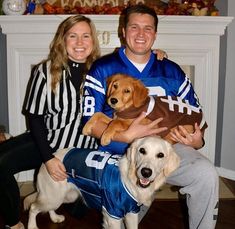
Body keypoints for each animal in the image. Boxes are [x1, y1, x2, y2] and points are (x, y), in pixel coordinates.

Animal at [23, 137, 179, 228]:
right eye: (142, 151)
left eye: (160, 155)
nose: (146, 172)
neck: (131, 180)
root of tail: (49, 160)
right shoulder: (113, 214)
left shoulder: (132, 212)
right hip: (53, 197)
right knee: (33, 207)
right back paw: (32, 226)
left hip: (65, 197)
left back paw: (55, 218)